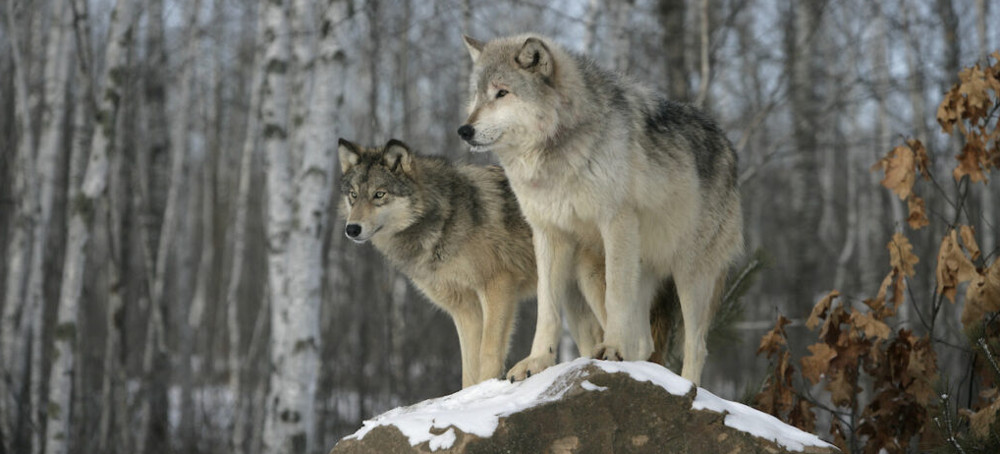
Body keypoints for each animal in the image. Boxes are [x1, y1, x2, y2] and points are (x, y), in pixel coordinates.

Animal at [337, 138, 604, 387]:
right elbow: (469, 367)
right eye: (353, 196)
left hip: (589, 279)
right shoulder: (464, 308)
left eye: (379, 194)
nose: (352, 229)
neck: (444, 219)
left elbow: (488, 352)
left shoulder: (497, 285)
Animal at [458, 34, 744, 385]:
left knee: (696, 345)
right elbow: (547, 306)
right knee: (645, 341)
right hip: (609, 268)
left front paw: (612, 348)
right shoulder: (548, 234)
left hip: (689, 273)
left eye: (502, 92)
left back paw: (686, 385)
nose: (464, 130)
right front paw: (537, 361)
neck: (557, 154)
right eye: (476, 95)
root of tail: (729, 146)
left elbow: (616, 297)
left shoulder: (616, 222)